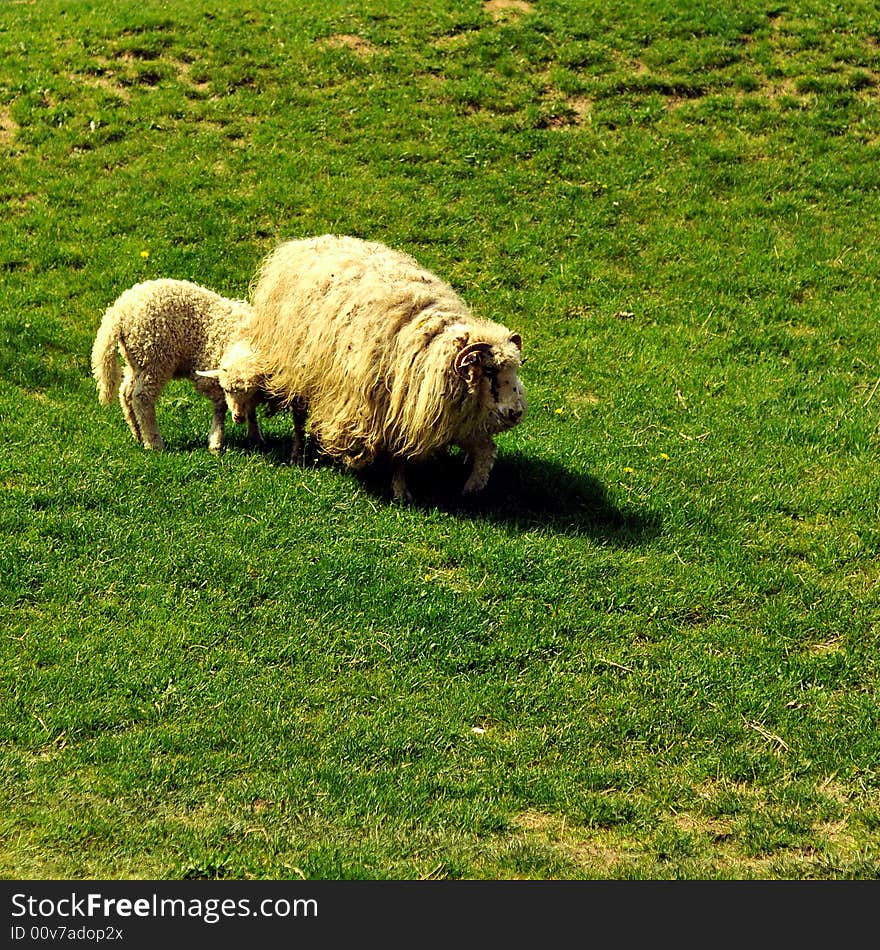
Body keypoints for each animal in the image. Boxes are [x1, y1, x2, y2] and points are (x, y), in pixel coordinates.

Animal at [92, 278, 268, 454]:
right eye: (227, 390)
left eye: (250, 392)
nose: (238, 417)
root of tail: (119, 311)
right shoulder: (208, 373)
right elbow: (221, 407)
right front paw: (216, 441)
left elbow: (251, 410)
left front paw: (255, 437)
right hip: (155, 359)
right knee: (141, 397)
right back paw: (154, 442)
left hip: (136, 360)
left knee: (126, 392)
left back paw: (138, 434)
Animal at [244, 234, 524, 502]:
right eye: (489, 370)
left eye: (514, 370)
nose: (516, 412)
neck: (430, 341)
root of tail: (307, 241)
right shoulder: (385, 409)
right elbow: (397, 456)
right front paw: (401, 492)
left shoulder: (421, 414)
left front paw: (458, 490)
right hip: (296, 368)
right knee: (298, 413)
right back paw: (297, 454)